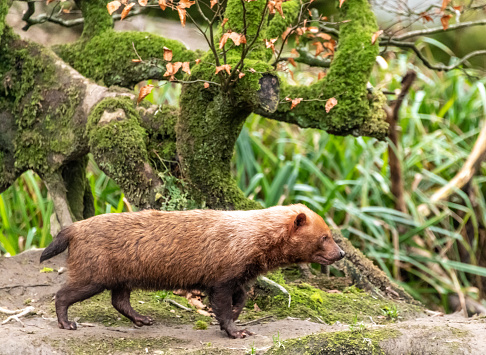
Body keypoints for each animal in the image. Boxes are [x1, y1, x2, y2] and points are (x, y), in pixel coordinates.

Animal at [40, 204, 346, 338]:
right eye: (325, 237)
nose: (341, 254)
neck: (246, 238)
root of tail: (74, 227)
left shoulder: (240, 275)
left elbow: (240, 299)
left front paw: (237, 316)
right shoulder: (223, 275)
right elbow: (222, 304)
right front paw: (236, 331)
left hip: (121, 276)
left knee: (120, 300)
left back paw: (143, 319)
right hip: (93, 274)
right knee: (63, 295)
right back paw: (67, 323)